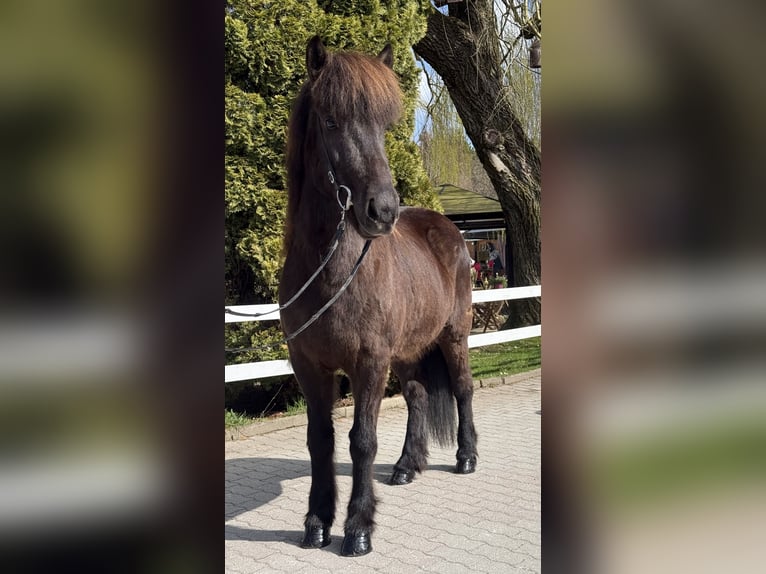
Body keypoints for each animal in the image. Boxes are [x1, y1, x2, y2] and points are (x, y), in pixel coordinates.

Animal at [278, 36, 478, 557]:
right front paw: (316, 522)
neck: (333, 271)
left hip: (454, 336)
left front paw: (358, 529)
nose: (383, 211)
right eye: (331, 121)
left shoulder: (369, 362)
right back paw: (407, 466)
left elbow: (361, 441)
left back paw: (467, 456)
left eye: (385, 126)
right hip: (407, 351)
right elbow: (320, 440)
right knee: (417, 396)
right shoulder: (309, 364)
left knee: (463, 390)